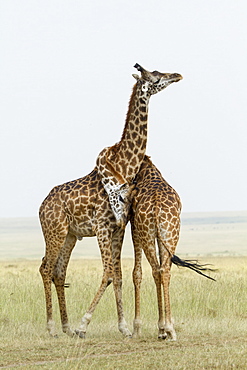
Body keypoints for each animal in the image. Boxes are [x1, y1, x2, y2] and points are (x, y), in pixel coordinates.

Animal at [130, 155, 215, 340]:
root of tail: (155, 205)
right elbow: (140, 272)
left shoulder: (138, 228)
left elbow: (140, 272)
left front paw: (144, 328)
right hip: (167, 234)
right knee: (162, 270)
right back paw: (167, 328)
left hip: (157, 234)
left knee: (159, 270)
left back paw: (164, 328)